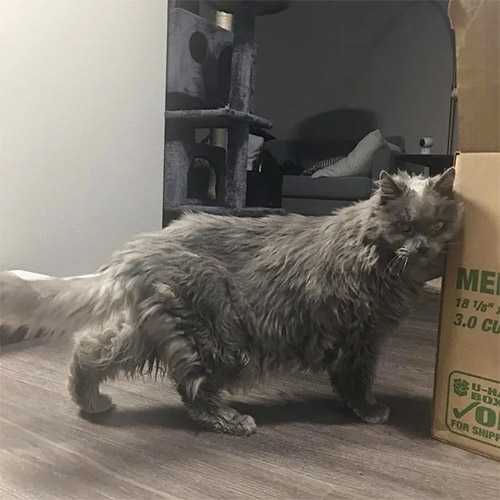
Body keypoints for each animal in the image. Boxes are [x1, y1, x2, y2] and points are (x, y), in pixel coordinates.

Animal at [0, 169, 462, 436]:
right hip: (218, 340)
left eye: (438, 225)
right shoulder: (361, 342)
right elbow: (357, 383)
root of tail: (139, 250)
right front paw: (369, 411)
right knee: (193, 392)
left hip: (156, 331)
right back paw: (234, 421)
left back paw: (92, 405)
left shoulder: (359, 341)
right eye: (405, 225)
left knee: (90, 350)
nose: (423, 247)